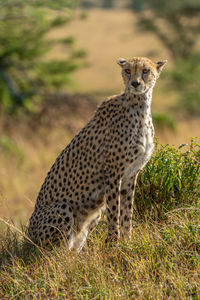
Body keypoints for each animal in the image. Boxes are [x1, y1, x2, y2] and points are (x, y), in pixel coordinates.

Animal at [27, 56, 166, 251]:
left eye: (145, 70)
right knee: (55, 253)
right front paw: (114, 246)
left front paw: (127, 243)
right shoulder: (113, 173)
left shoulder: (131, 175)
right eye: (128, 70)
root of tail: (27, 236)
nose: (135, 83)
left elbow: (126, 213)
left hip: (93, 215)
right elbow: (114, 213)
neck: (140, 106)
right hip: (61, 208)